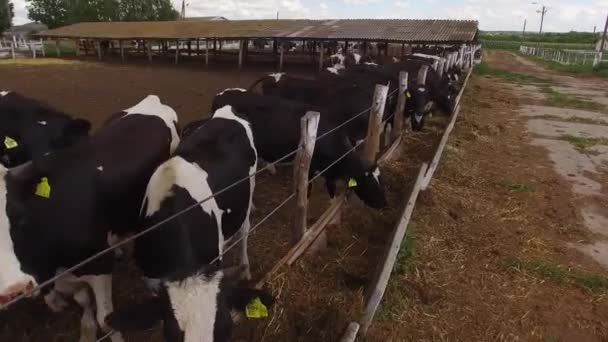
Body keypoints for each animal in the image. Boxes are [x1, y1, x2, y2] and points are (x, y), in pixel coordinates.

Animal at [0, 94, 179, 342]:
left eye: (21, 220)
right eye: (21, 153)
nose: (12, 290)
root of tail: (152, 99)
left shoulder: (99, 264)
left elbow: (106, 319)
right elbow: (83, 302)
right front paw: (87, 330)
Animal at [107, 105, 274, 342]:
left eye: (226, 330)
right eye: (173, 335)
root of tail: (226, 111)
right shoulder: (151, 277)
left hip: (249, 192)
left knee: (244, 232)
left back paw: (246, 268)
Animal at [211, 89, 388, 210]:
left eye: (382, 180)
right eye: (370, 184)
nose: (384, 204)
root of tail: (222, 93)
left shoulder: (329, 170)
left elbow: (331, 188)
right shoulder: (310, 168)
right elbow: (307, 190)